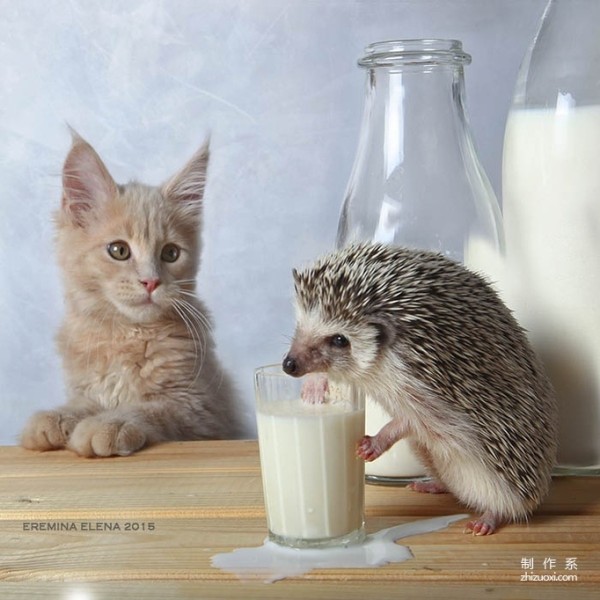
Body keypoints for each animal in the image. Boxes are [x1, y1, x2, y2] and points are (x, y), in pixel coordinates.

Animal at [21, 134, 241, 458]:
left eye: (170, 253)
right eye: (119, 250)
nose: (151, 281)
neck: (125, 335)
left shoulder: (202, 409)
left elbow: (148, 409)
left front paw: (108, 425)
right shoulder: (88, 388)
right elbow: (83, 404)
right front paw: (55, 417)